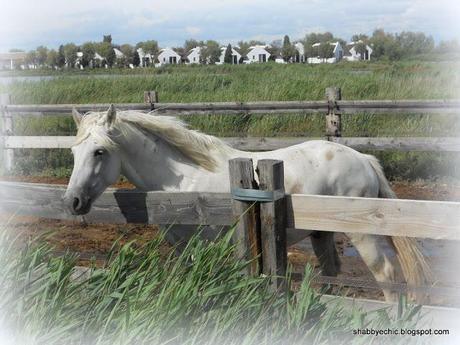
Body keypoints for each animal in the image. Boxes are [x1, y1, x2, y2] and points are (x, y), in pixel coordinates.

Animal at [62, 105, 432, 300]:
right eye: (74, 152)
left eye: (100, 151)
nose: (72, 201)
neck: (183, 181)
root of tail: (364, 159)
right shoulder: (182, 246)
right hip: (321, 234)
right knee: (332, 271)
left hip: (363, 235)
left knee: (386, 275)